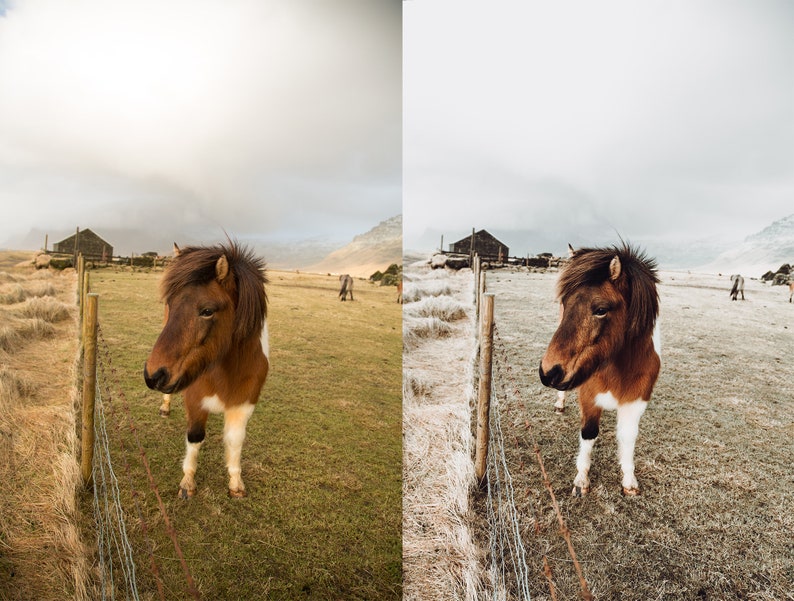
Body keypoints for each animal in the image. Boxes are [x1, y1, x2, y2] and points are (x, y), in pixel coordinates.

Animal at [142, 239, 266, 496]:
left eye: (207, 311)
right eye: (170, 304)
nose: (153, 375)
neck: (227, 373)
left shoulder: (244, 406)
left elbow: (235, 440)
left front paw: (235, 482)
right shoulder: (195, 401)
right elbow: (195, 436)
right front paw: (188, 481)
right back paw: (165, 407)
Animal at [536, 241, 660, 494]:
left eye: (601, 310)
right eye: (565, 303)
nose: (548, 372)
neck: (620, 370)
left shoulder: (636, 403)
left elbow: (627, 438)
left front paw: (629, 480)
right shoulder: (589, 398)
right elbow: (589, 433)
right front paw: (581, 479)